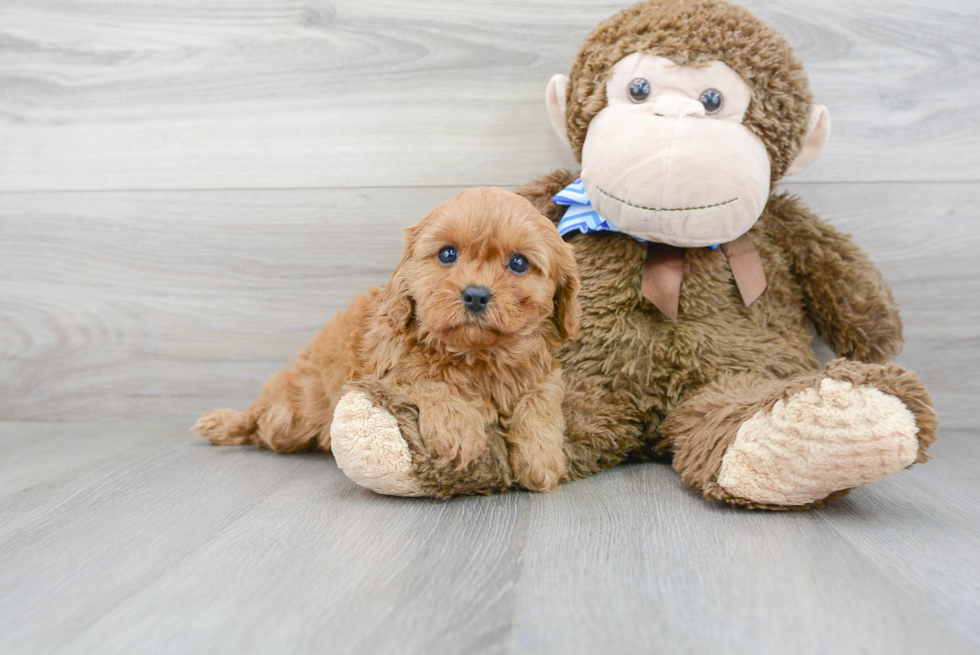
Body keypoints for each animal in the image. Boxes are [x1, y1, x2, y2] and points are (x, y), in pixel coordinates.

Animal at [196, 187, 584, 494]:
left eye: (518, 263)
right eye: (447, 254)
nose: (475, 295)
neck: (476, 354)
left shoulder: (545, 373)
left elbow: (540, 402)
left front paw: (542, 457)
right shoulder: (387, 370)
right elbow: (429, 380)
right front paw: (459, 431)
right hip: (293, 415)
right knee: (262, 420)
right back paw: (229, 423)